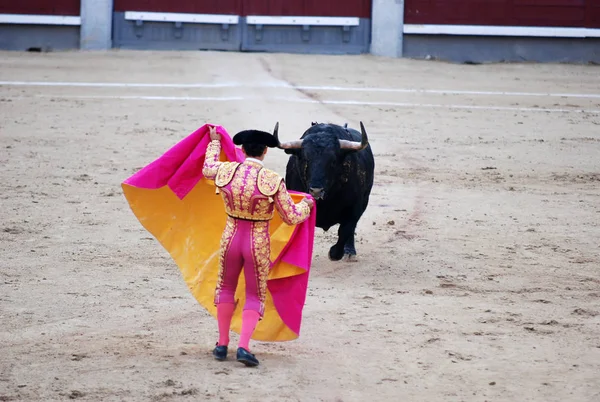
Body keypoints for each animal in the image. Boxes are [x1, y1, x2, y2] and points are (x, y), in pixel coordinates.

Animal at [274, 122, 372, 260]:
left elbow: (345, 230)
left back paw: (350, 251)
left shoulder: (355, 208)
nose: (316, 191)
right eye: (305, 159)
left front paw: (334, 253)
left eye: (333, 161)